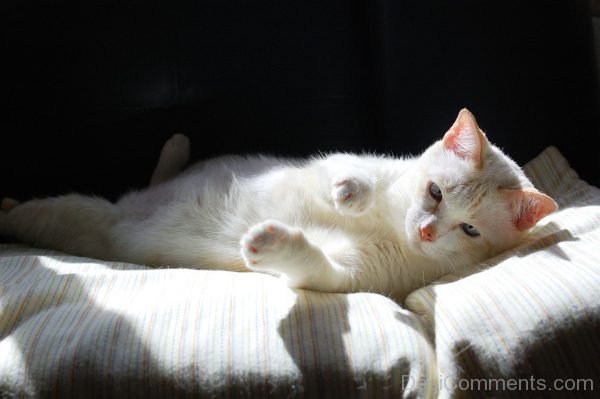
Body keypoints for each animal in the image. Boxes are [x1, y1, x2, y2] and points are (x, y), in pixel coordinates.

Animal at [0, 109, 556, 300]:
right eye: (435, 192)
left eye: (469, 231)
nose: (424, 231)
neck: (391, 226)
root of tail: (128, 208)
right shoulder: (356, 162)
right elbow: (353, 170)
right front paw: (351, 192)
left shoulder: (351, 276)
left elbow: (313, 266)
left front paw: (272, 244)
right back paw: (177, 147)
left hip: (74, 217)